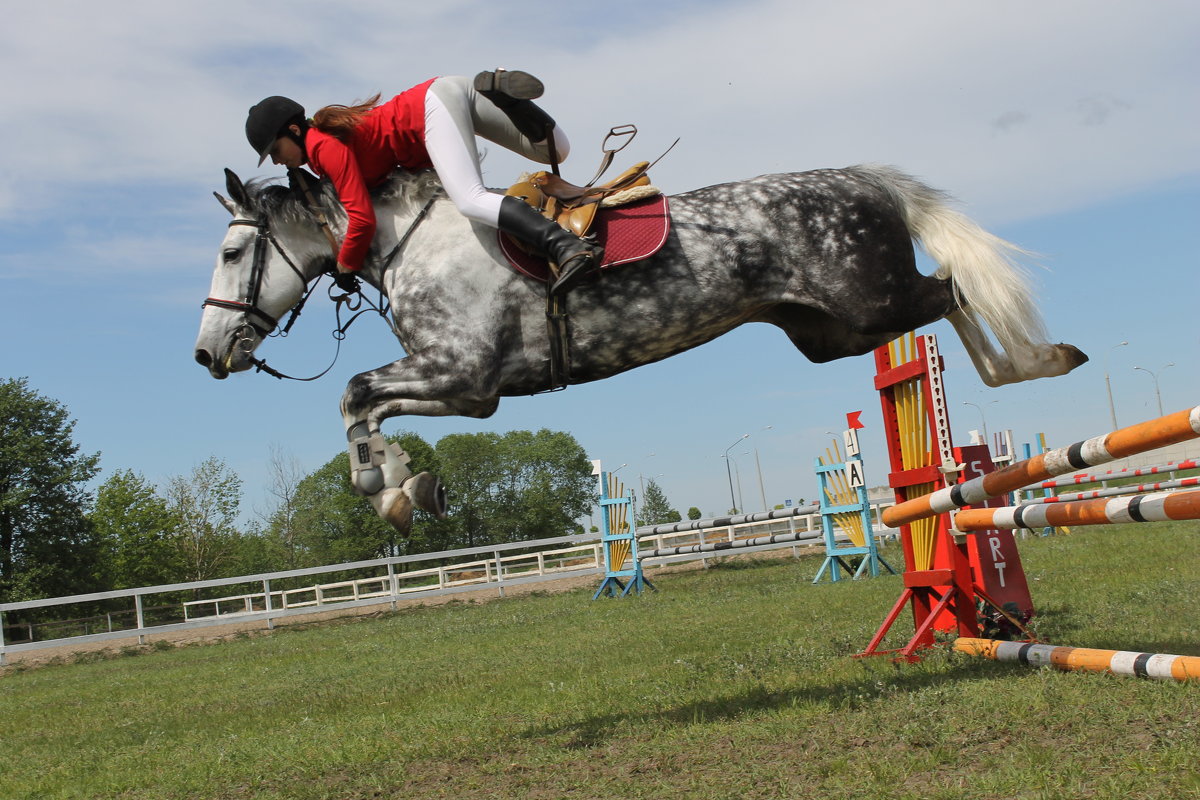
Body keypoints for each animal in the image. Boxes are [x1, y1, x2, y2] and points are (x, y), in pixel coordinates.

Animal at [194, 164, 1089, 532]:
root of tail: (867, 182)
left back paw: (1037, 362)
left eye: (234, 252)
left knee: (957, 289)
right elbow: (360, 404)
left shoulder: (466, 379)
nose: (207, 356)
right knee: (946, 295)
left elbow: (353, 393)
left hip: (871, 304)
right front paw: (404, 487)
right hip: (833, 335)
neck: (411, 241)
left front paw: (393, 490)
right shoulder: (464, 390)